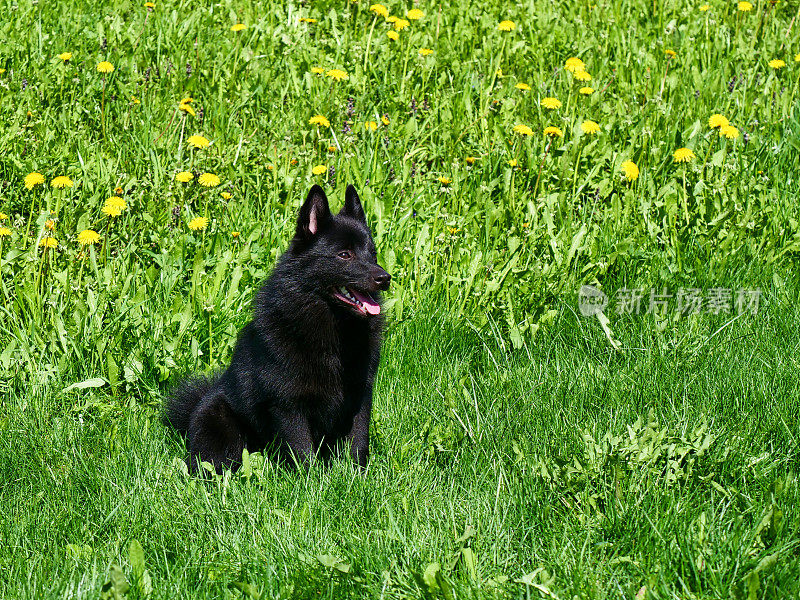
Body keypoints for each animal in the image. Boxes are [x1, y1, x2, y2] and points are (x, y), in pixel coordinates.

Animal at [163, 184, 390, 474]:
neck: (336, 333)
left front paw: (357, 476)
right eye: (344, 255)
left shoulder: (360, 397)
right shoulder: (288, 405)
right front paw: (312, 481)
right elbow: (302, 451)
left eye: (372, 253)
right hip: (220, 431)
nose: (385, 278)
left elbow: (358, 443)